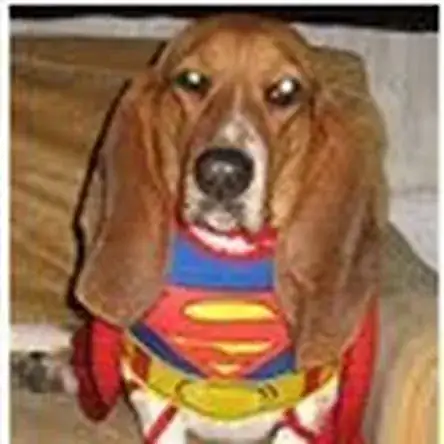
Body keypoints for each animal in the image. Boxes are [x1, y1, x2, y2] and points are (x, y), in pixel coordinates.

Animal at [13, 14, 386, 444]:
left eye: (286, 90)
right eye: (191, 80)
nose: (222, 173)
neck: (227, 256)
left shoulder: (307, 410)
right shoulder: (156, 401)